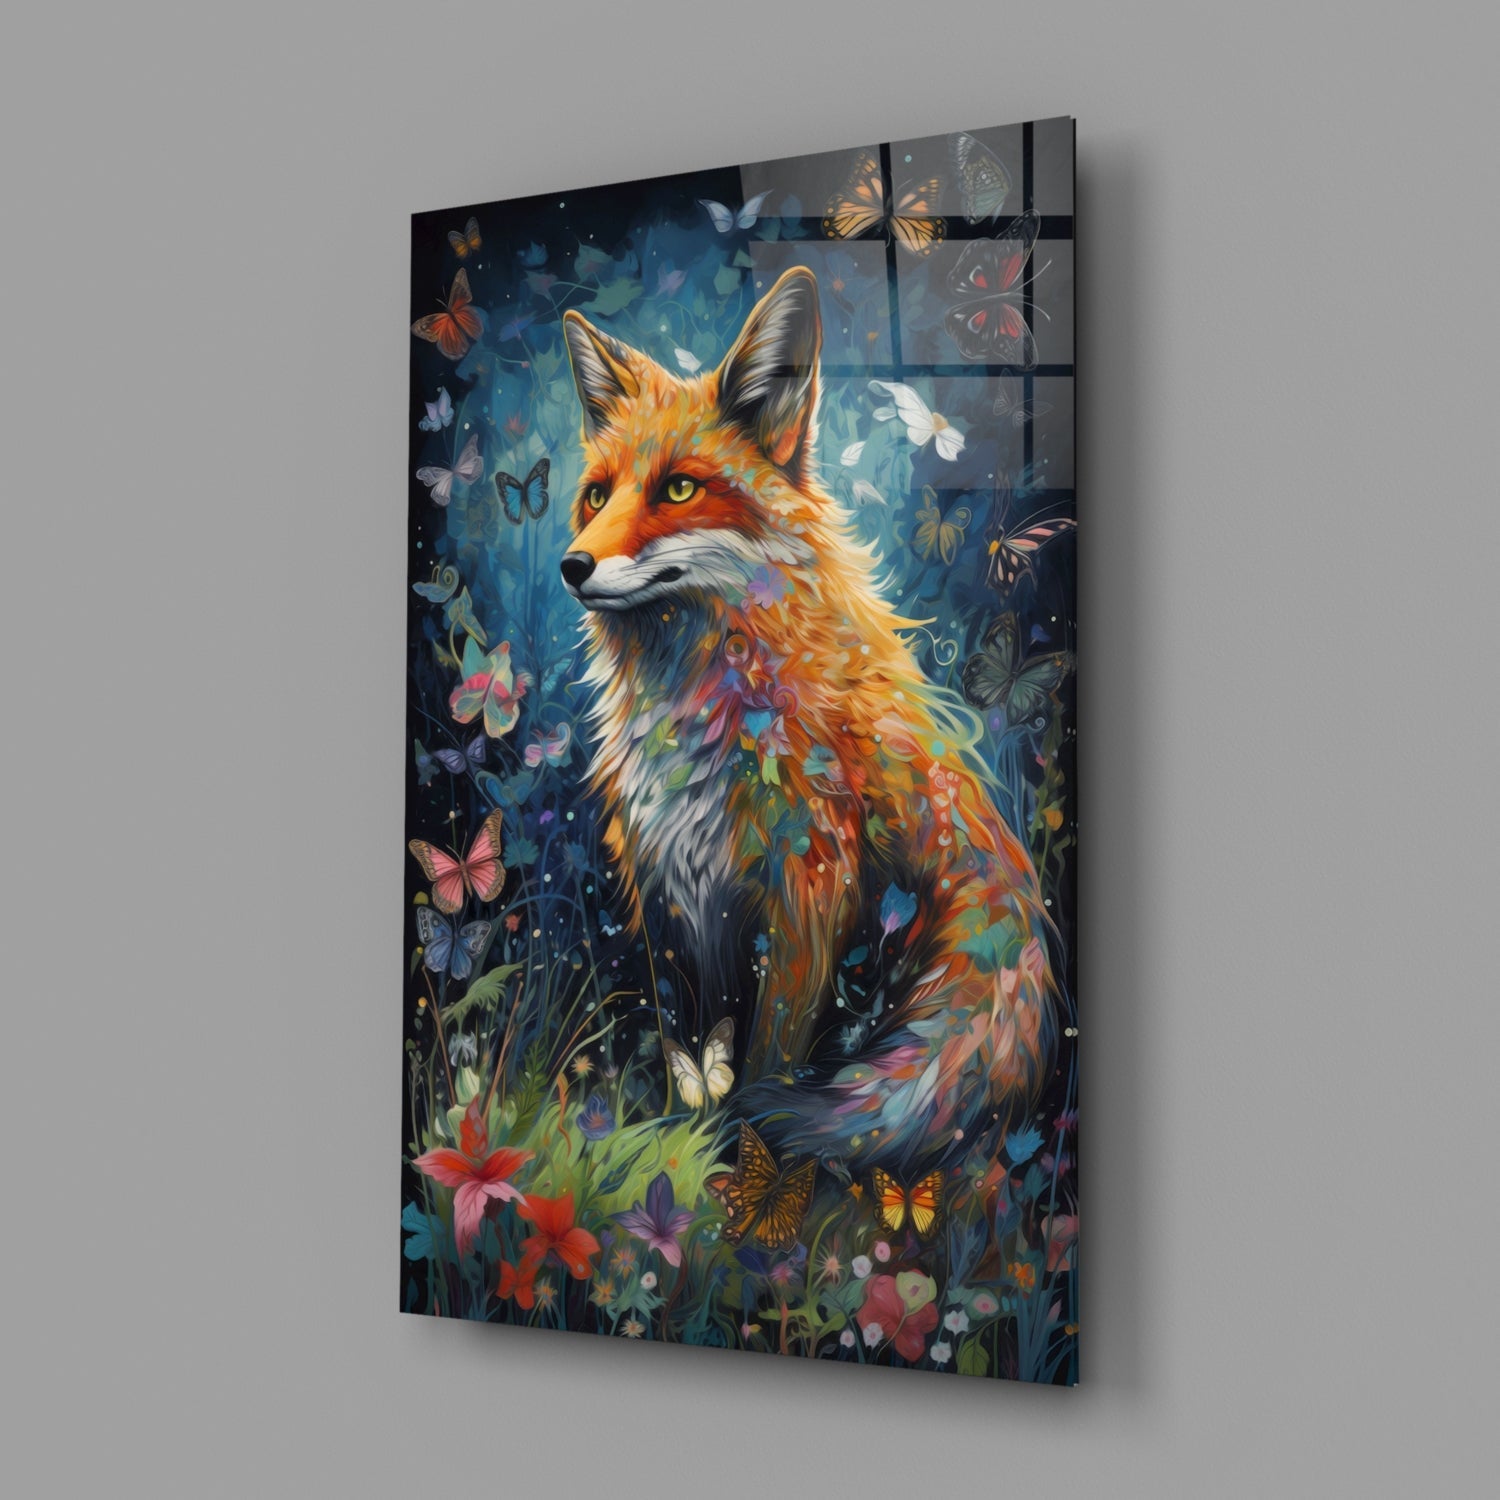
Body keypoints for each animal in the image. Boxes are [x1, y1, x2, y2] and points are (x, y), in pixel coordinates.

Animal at [559, 267, 1060, 1171]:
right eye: (596, 495)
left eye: (679, 487)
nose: (571, 565)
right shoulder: (663, 881)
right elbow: (685, 1033)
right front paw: (686, 1113)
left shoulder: (808, 891)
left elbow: (767, 1055)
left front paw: (729, 1158)